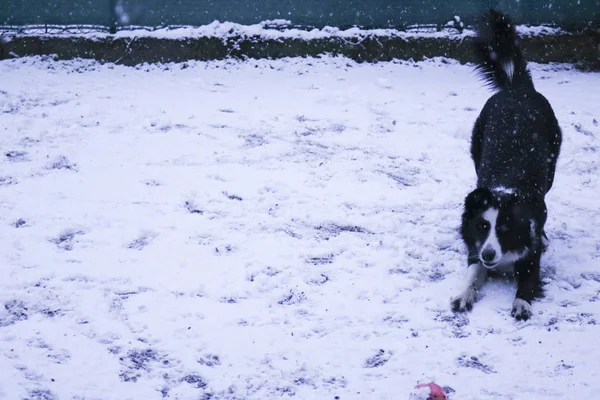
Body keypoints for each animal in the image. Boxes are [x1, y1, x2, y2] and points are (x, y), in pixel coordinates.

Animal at [454, 10, 564, 322]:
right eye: (482, 226)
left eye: (503, 229)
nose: (490, 255)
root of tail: (518, 88)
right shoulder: (475, 251)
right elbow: (471, 275)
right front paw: (463, 295)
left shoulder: (530, 258)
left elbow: (527, 283)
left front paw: (522, 304)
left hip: (551, 166)